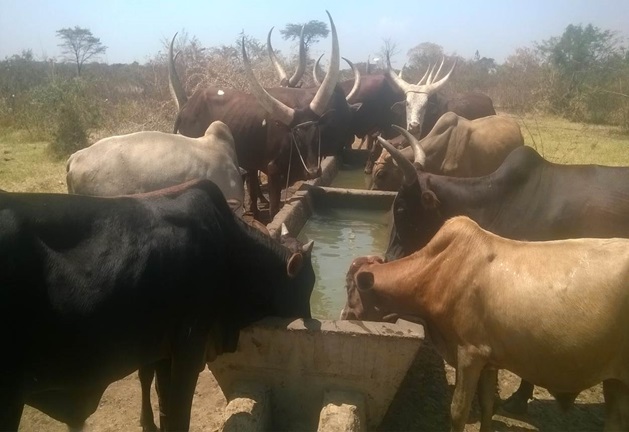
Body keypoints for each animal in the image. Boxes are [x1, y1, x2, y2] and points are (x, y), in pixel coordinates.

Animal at [0, 178, 314, 428]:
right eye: (306, 286)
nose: (310, 318)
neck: (231, 249)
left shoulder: (164, 352)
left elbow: (164, 410)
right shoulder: (190, 349)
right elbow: (178, 417)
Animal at [340, 216, 628, 432]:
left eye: (350, 287)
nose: (344, 316)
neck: (438, 270)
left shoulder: (470, 353)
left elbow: (458, 411)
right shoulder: (491, 358)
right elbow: (488, 405)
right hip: (616, 382)